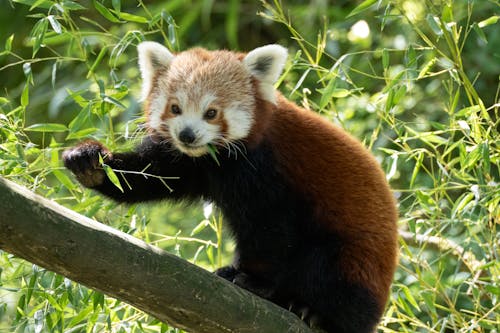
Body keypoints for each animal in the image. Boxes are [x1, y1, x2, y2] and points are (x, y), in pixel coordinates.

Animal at [63, 42, 398, 330]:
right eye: (175, 108)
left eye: (211, 112)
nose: (187, 135)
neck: (217, 160)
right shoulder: (188, 163)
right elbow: (147, 177)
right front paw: (90, 162)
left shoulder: (268, 171)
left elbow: (271, 231)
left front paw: (254, 280)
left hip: (353, 261)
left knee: (326, 271)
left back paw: (313, 311)